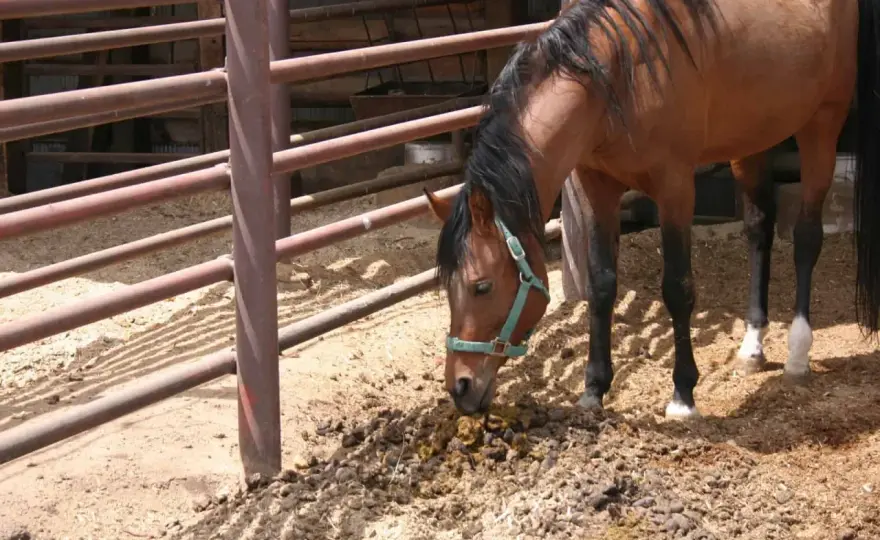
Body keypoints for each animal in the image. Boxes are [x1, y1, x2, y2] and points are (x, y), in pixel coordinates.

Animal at [423, 0, 880, 418]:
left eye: (482, 286)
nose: (460, 387)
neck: (617, 73)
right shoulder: (597, 185)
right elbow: (601, 284)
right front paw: (593, 389)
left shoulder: (675, 186)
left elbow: (677, 288)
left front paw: (683, 394)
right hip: (753, 138)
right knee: (759, 229)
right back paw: (753, 347)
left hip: (821, 125)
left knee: (806, 238)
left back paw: (798, 353)